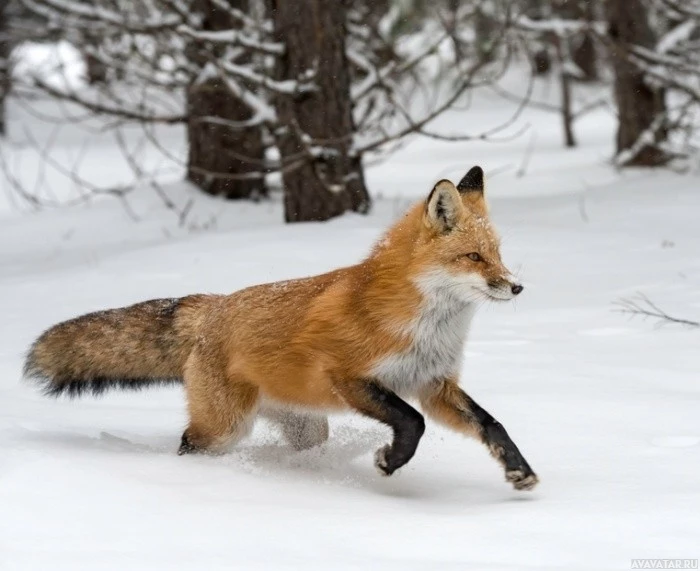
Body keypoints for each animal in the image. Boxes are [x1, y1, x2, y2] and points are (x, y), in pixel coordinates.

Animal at [21, 166, 536, 492]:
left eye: (498, 254)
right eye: (473, 257)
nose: (517, 287)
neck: (424, 326)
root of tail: (213, 305)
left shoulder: (432, 384)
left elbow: (491, 424)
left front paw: (518, 470)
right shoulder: (348, 376)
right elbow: (412, 423)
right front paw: (388, 461)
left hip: (305, 425)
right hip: (224, 428)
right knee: (189, 443)